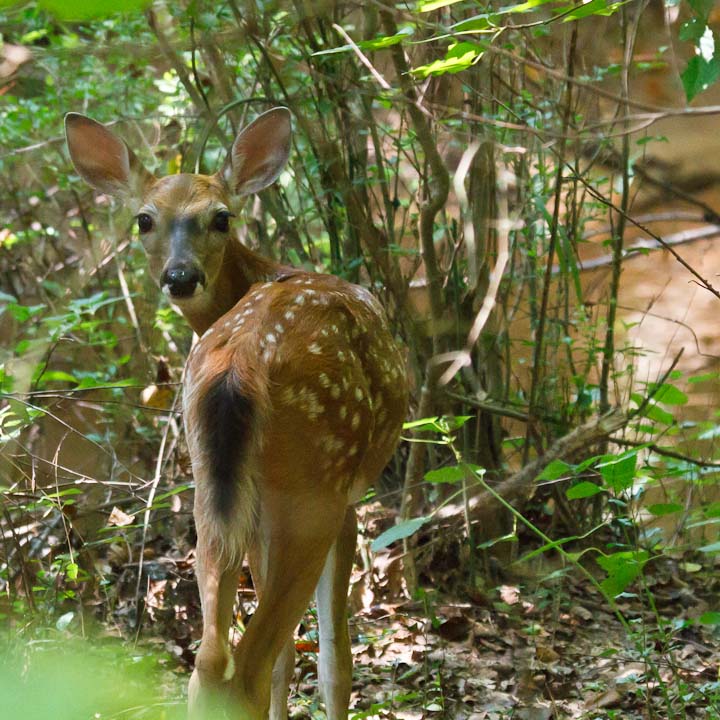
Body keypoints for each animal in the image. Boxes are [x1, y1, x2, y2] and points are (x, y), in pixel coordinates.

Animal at [64, 108, 408, 720]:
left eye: (220, 217)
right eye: (144, 220)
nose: (180, 276)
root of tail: (242, 360)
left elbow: (286, 658)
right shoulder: (347, 500)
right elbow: (329, 656)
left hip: (212, 487)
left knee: (210, 663)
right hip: (317, 481)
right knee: (248, 664)